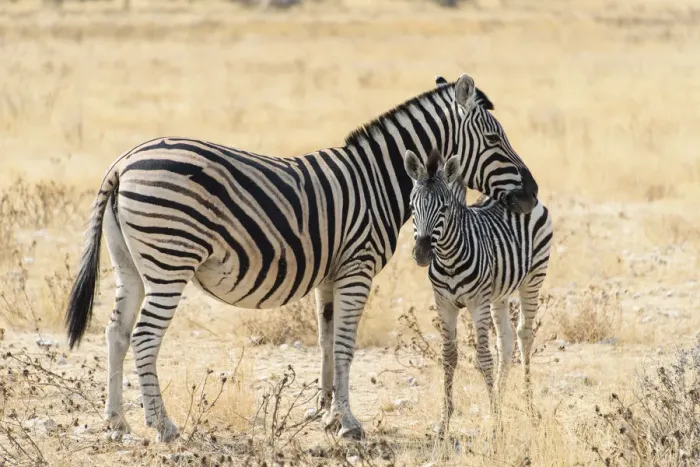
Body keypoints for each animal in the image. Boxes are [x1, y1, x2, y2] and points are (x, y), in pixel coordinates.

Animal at [404, 148, 552, 437]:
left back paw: (529, 408)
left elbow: (483, 358)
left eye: (444, 208)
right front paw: (445, 422)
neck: (448, 257)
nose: (422, 254)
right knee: (505, 341)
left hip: (533, 278)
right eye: (412, 208)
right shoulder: (444, 303)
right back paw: (501, 399)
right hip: (499, 293)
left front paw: (496, 424)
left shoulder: (477, 302)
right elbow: (448, 357)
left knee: (524, 335)